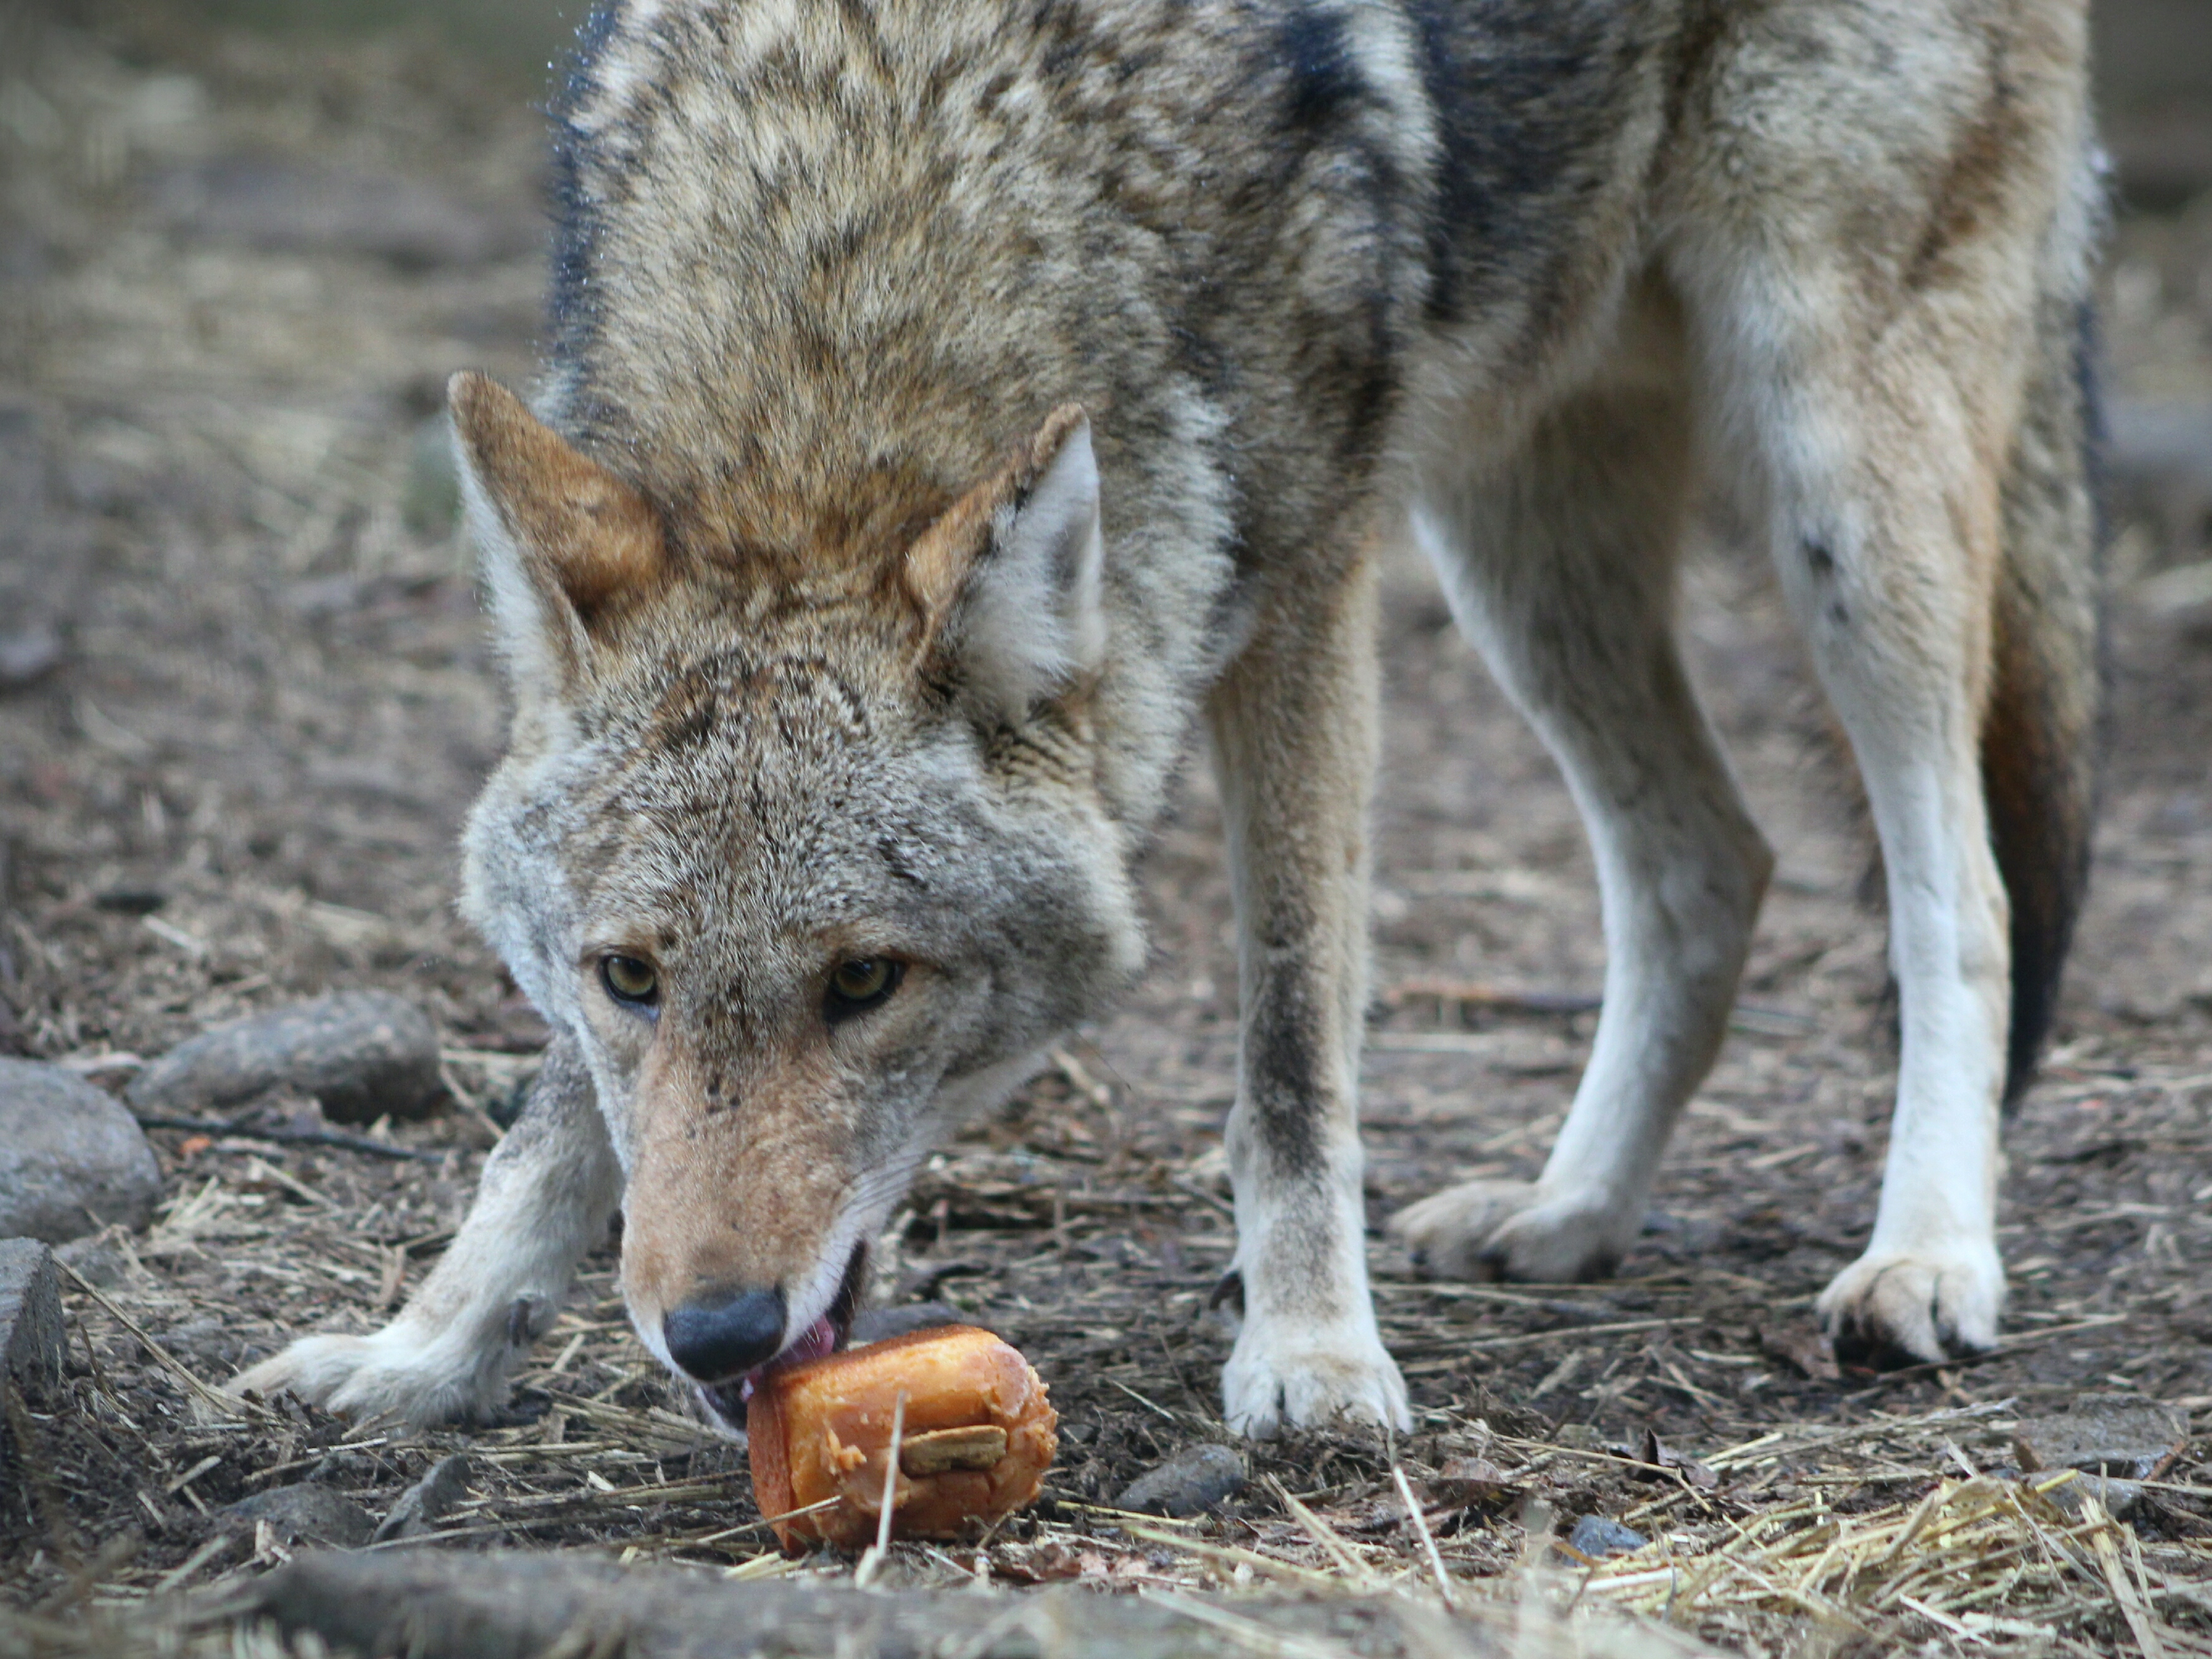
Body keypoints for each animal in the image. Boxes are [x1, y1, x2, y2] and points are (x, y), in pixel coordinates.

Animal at [233, 0, 2101, 1439]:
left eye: (866, 983)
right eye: (627, 976)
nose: (716, 1334)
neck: (870, 245)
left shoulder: (1308, 595)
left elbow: (1291, 1047)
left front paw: (1311, 1354)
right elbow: (549, 1127)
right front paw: (422, 1348)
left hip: (1830, 466)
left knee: (1960, 884)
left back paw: (1927, 1255)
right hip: (1516, 535)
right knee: (1711, 861)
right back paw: (1570, 1209)